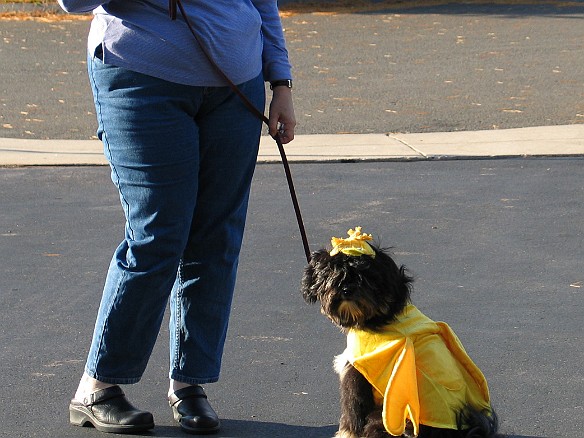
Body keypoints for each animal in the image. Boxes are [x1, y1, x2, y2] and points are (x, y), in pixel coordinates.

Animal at [304, 231, 500, 436]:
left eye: (365, 276)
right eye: (333, 272)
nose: (346, 289)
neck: (379, 317)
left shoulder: (355, 376)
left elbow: (352, 417)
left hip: (385, 420)